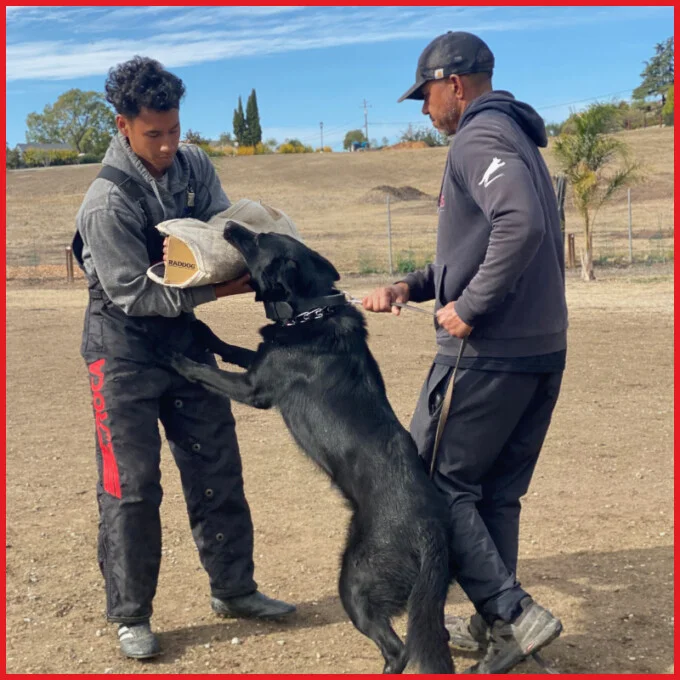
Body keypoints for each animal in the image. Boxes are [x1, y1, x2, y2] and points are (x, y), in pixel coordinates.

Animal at [169, 224, 454, 676]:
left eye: (258, 239)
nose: (230, 226)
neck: (310, 310)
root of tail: (430, 531)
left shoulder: (252, 388)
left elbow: (205, 371)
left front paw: (175, 356)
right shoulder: (258, 362)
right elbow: (232, 348)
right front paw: (202, 333)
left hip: (354, 580)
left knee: (397, 650)